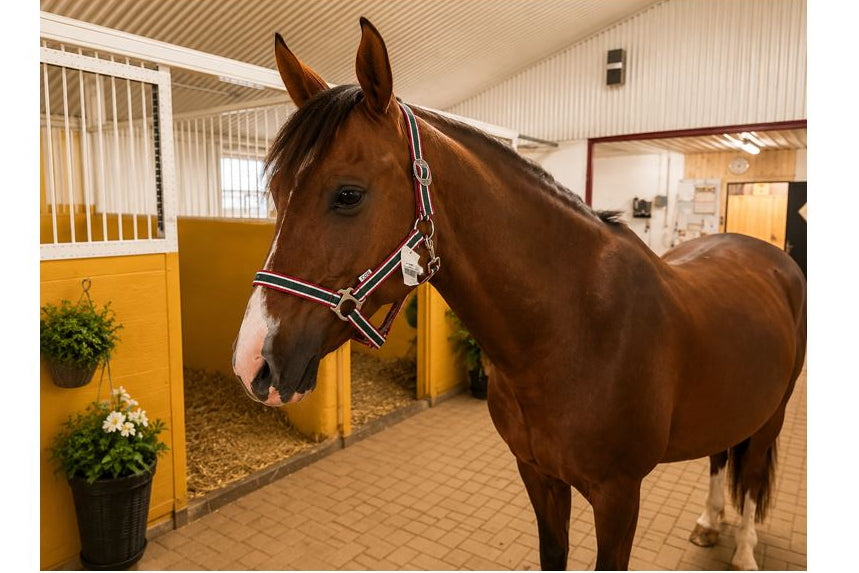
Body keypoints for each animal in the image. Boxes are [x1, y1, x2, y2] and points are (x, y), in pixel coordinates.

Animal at [232, 18, 806, 571]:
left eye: (348, 194)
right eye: (276, 191)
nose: (251, 361)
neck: (574, 332)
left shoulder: (619, 497)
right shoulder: (537, 475)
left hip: (772, 415)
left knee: (753, 477)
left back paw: (746, 552)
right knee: (720, 457)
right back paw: (709, 522)